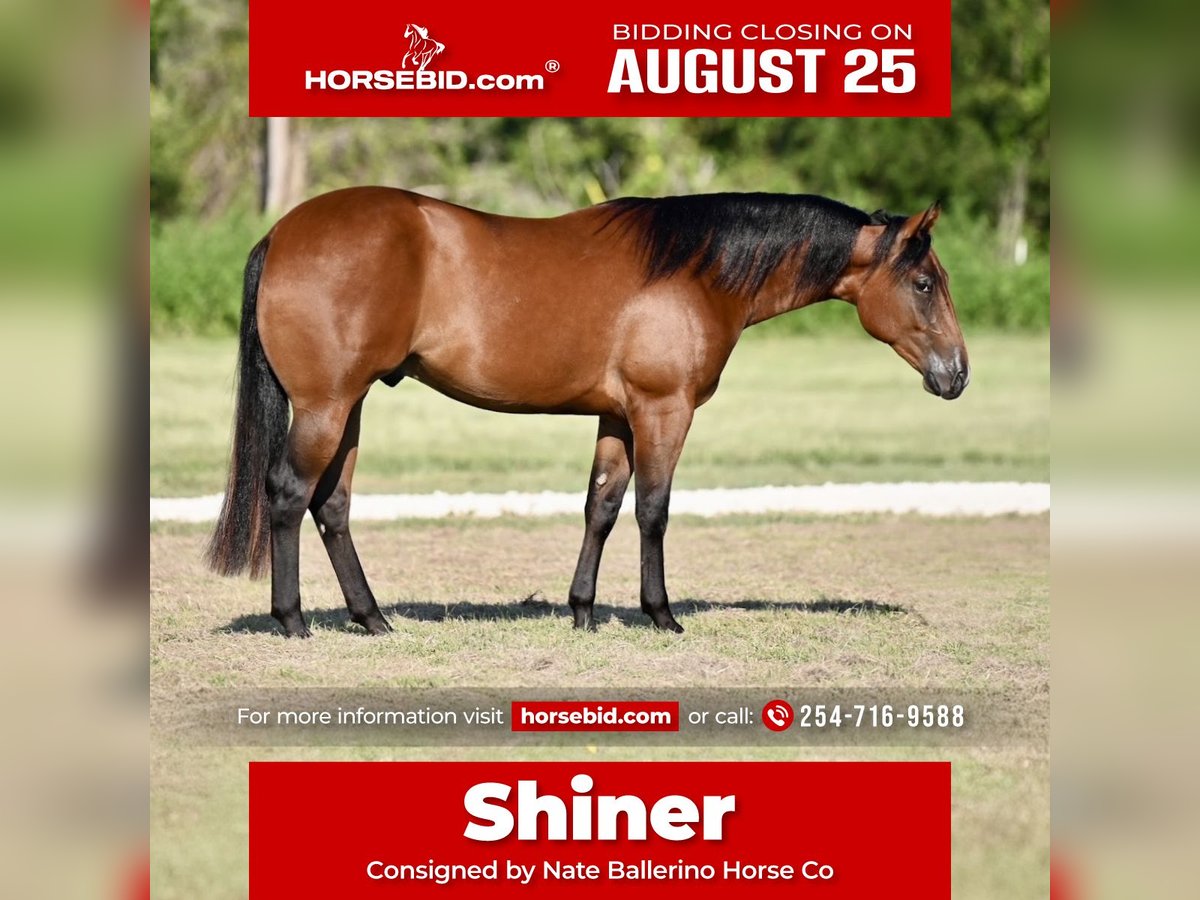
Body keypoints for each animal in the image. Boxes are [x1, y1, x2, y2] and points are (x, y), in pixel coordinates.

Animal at [206, 188, 970, 638]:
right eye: (923, 283)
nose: (958, 374)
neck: (695, 268)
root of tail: (282, 233)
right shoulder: (665, 411)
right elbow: (654, 510)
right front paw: (660, 614)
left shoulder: (618, 418)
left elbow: (600, 507)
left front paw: (583, 611)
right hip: (326, 407)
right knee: (288, 495)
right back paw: (293, 620)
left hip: (351, 406)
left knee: (331, 505)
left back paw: (372, 619)